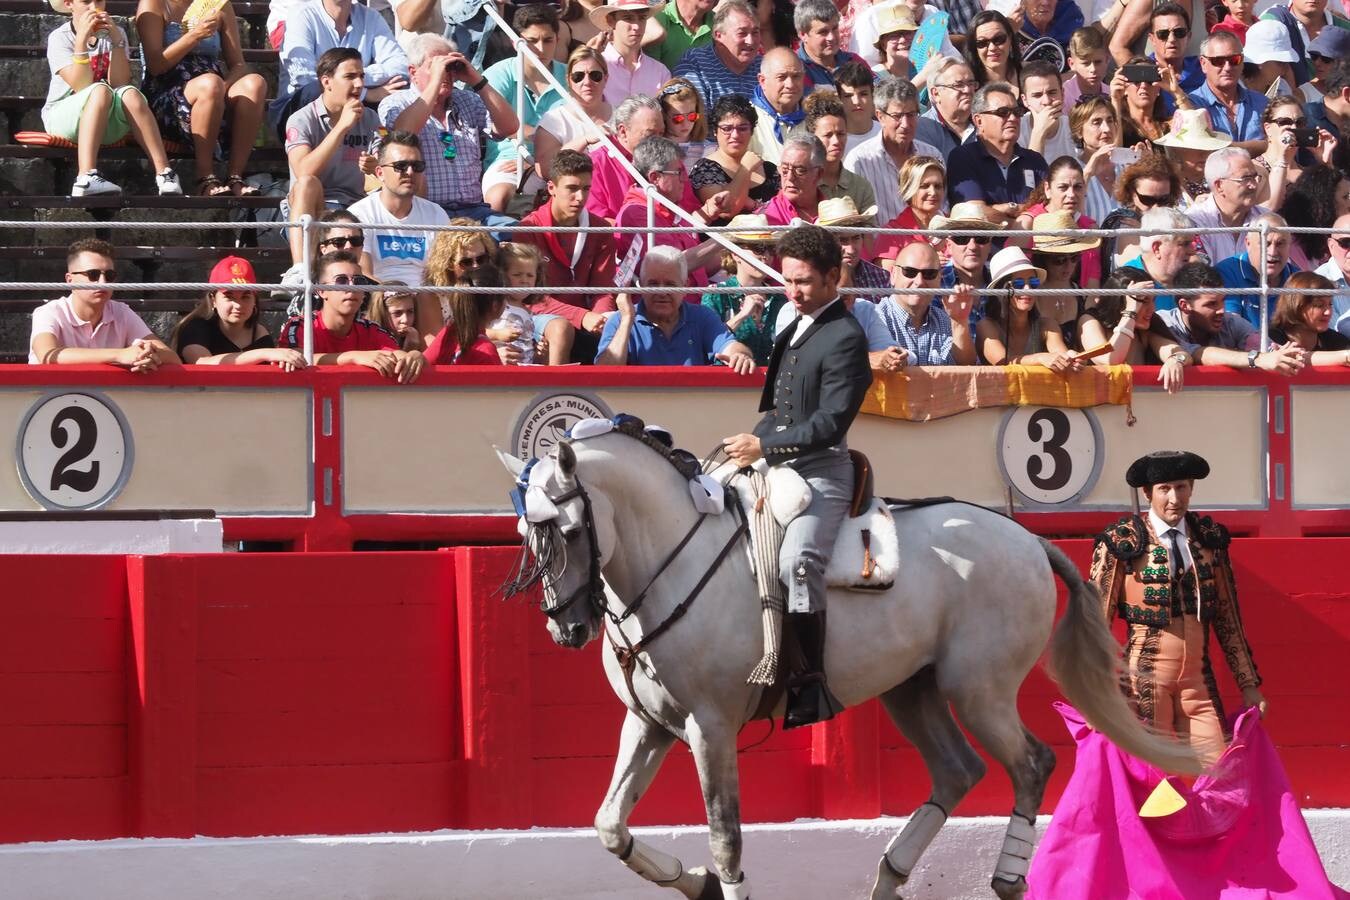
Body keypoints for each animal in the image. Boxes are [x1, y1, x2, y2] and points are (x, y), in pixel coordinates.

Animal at [499, 418, 1204, 895]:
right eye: (525, 532)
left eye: (569, 531)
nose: (568, 628)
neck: (675, 558)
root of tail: (1029, 540)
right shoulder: (648, 724)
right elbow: (609, 824)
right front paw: (694, 882)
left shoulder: (710, 727)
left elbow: (727, 839)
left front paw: (712, 878)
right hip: (911, 689)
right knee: (958, 771)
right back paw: (889, 875)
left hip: (980, 689)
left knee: (1031, 763)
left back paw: (1006, 878)